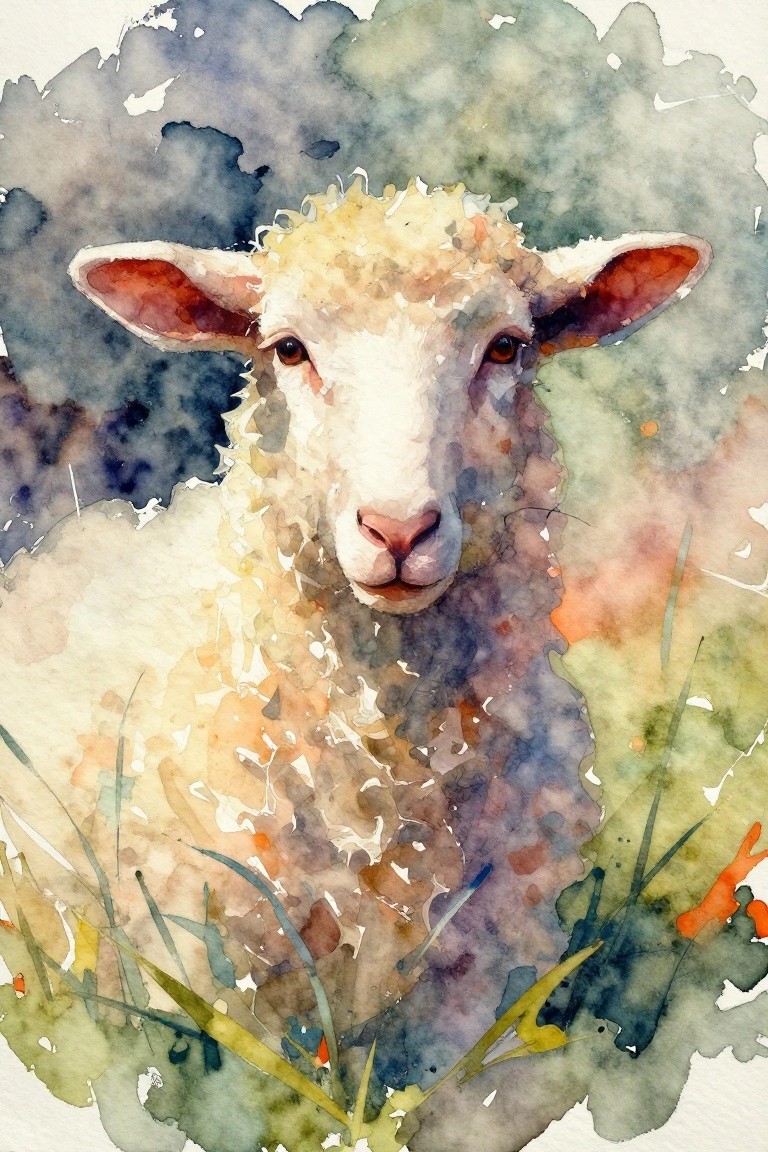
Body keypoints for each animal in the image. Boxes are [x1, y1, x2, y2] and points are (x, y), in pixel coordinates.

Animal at [0, 178, 710, 1095]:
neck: (386, 769)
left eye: (506, 346)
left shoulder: (477, 988)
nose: (398, 529)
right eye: (289, 348)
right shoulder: (213, 970)